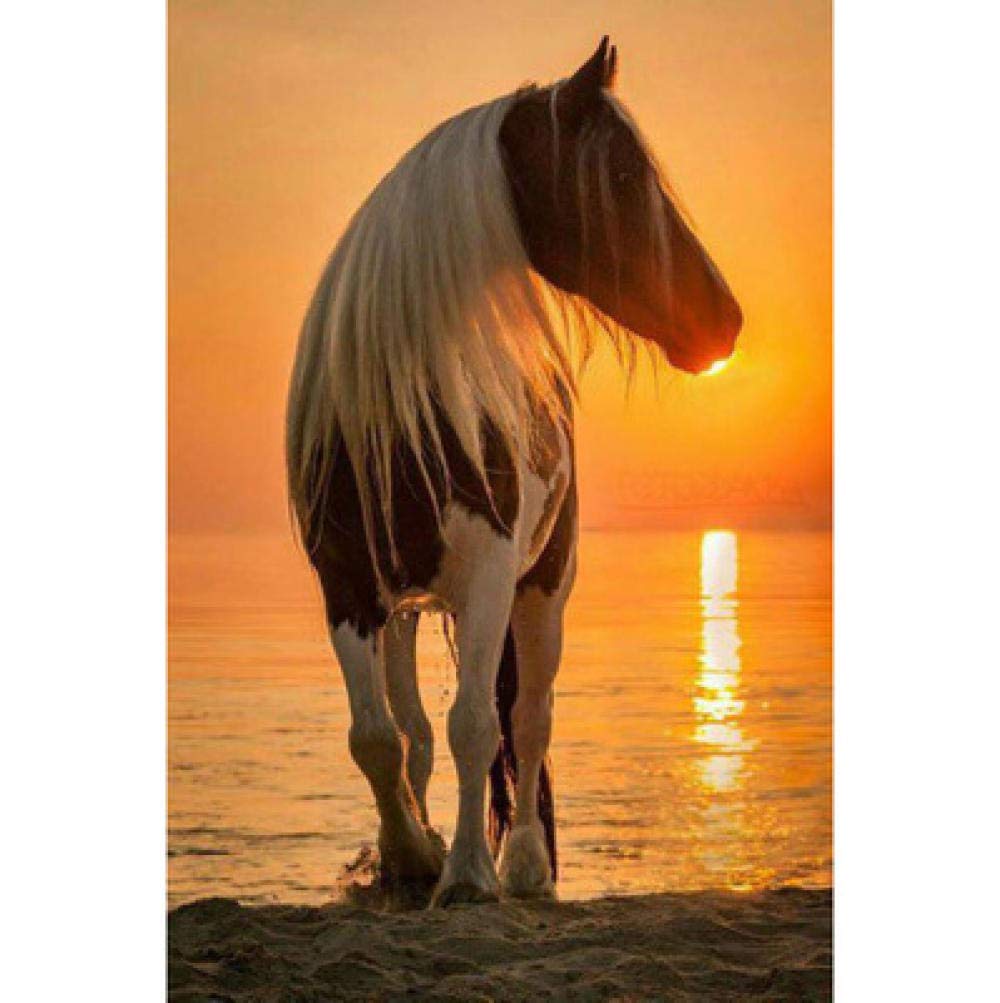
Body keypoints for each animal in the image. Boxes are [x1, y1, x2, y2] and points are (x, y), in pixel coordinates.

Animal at [286, 37, 742, 907]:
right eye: (622, 176)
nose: (725, 320)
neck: (403, 403)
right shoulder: (345, 584)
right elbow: (378, 737)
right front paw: (410, 855)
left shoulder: (494, 571)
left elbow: (479, 724)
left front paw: (468, 872)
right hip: (409, 608)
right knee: (417, 730)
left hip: (543, 585)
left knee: (529, 717)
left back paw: (525, 862)